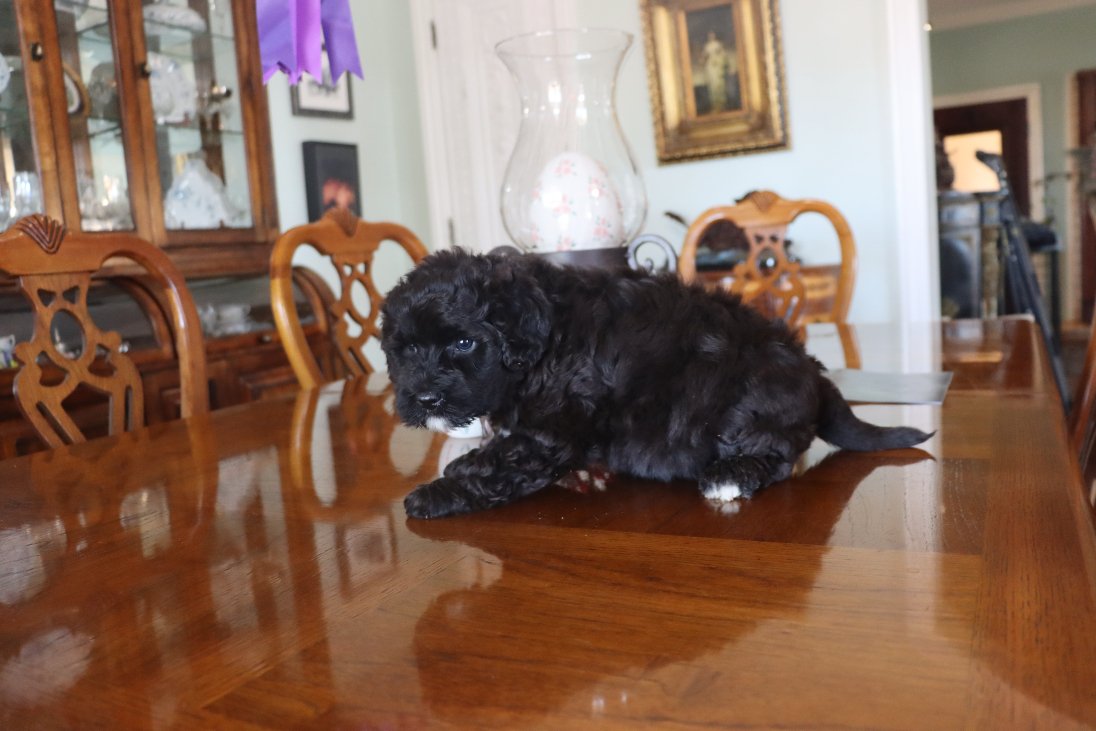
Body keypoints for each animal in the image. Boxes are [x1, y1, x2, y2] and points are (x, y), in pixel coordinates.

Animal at [380, 249, 931, 519]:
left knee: (776, 455)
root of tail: (813, 371)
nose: (424, 397)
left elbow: (499, 461)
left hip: (752, 394)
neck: (540, 338)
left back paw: (729, 477)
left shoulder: (549, 430)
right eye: (403, 350)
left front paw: (433, 495)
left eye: (464, 343)